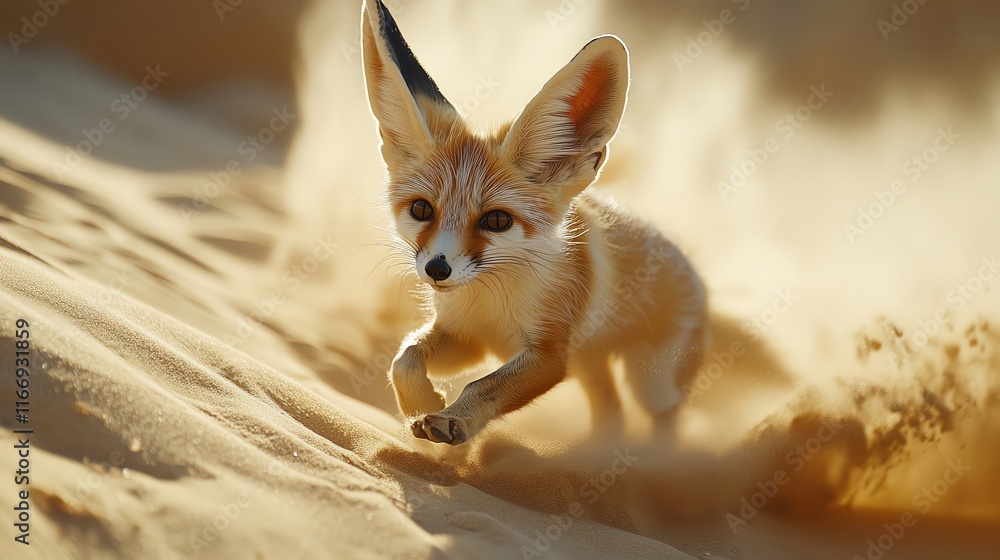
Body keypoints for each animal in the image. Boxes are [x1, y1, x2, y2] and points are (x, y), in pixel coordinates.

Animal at [362, 0, 708, 445]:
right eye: (422, 210)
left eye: (496, 220)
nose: (437, 269)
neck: (489, 299)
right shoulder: (468, 337)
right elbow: (404, 357)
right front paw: (421, 403)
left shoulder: (549, 355)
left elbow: (482, 386)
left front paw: (451, 419)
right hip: (592, 368)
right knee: (611, 410)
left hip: (650, 384)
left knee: (664, 416)